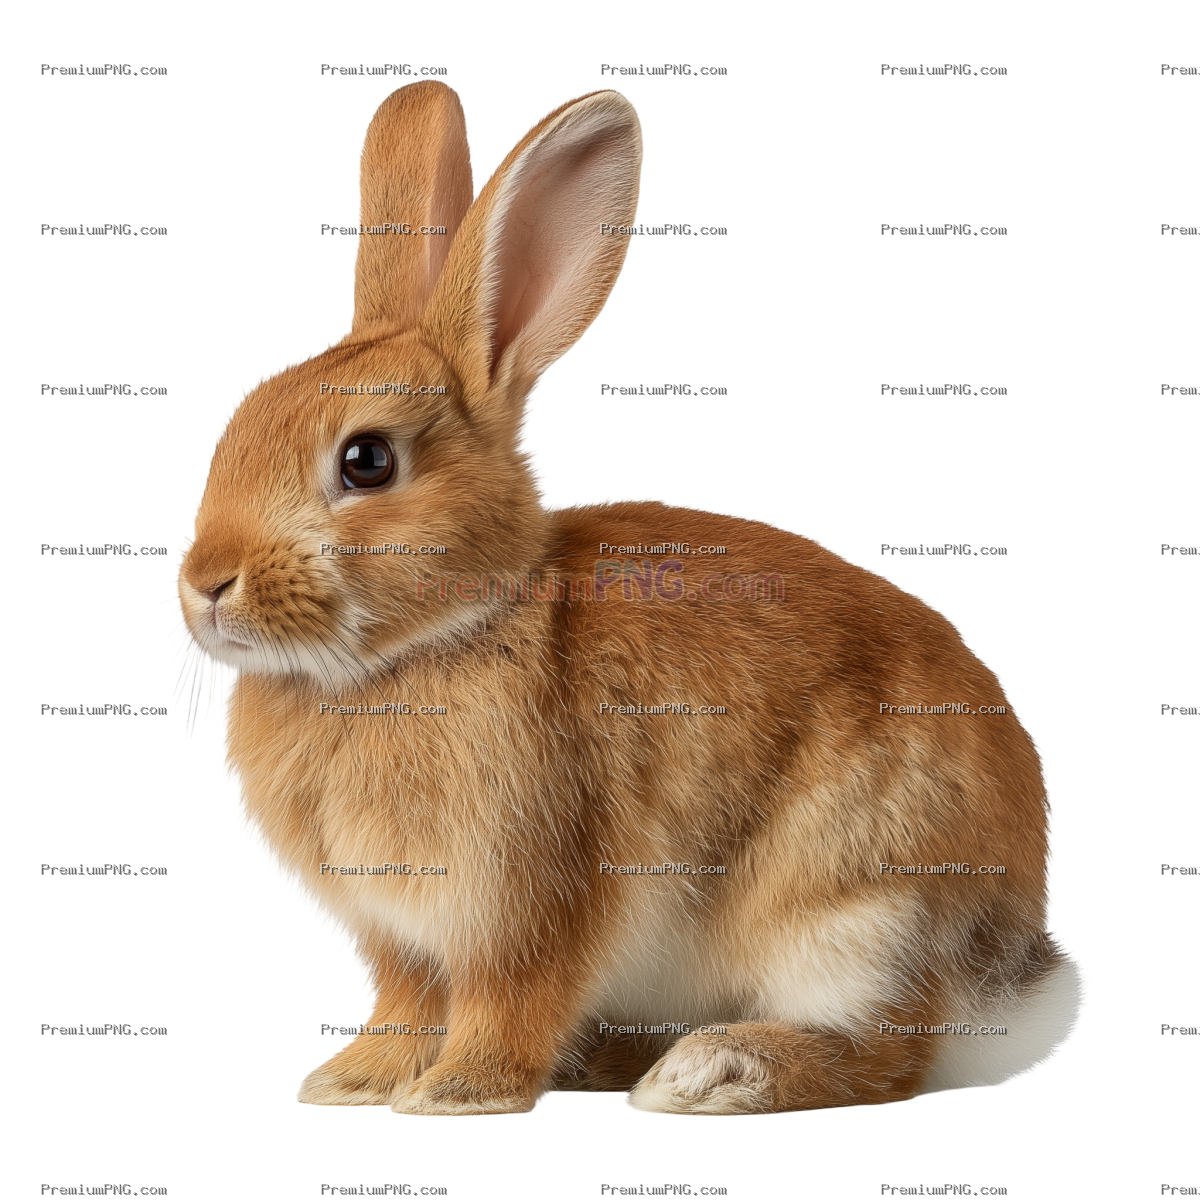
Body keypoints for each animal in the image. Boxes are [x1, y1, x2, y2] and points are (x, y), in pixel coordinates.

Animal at [175, 80, 1085, 1116]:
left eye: (366, 461)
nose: (206, 581)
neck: (417, 649)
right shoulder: (394, 940)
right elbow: (403, 1006)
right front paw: (351, 1083)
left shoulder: (533, 896)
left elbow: (512, 998)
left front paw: (460, 1096)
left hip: (856, 907)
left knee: (892, 1055)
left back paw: (708, 1072)